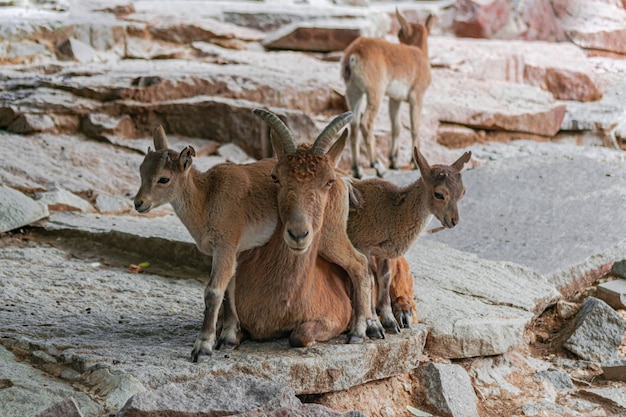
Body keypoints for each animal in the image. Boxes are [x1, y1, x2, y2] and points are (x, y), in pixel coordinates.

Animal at [342, 9, 434, 176]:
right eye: (399, 33)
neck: (420, 54)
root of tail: (353, 54)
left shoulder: (395, 99)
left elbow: (396, 127)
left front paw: (394, 162)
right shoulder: (417, 97)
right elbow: (415, 127)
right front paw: (413, 163)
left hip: (354, 93)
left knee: (354, 125)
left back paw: (358, 168)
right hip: (375, 93)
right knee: (366, 123)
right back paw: (377, 166)